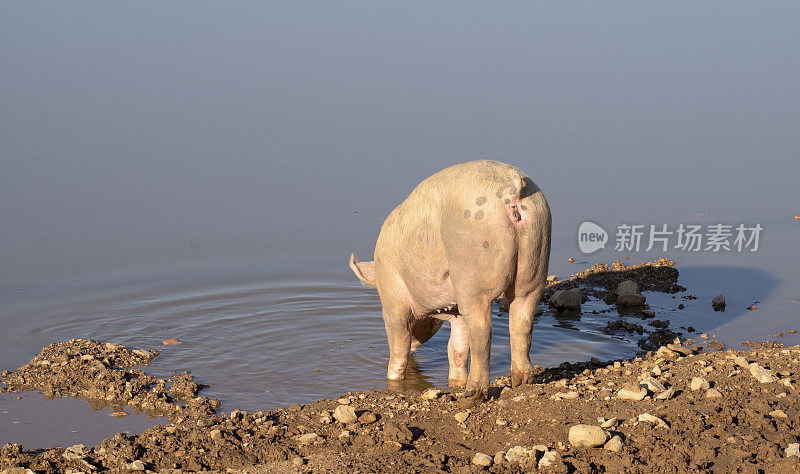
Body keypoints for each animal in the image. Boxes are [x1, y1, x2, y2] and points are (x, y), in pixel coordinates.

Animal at [348, 159, 552, 404]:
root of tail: (512, 188)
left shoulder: (393, 297)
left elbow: (398, 344)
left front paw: (394, 381)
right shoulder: (456, 311)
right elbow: (456, 348)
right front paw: (455, 383)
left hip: (473, 269)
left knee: (483, 330)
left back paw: (472, 396)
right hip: (535, 258)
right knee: (522, 320)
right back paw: (522, 382)